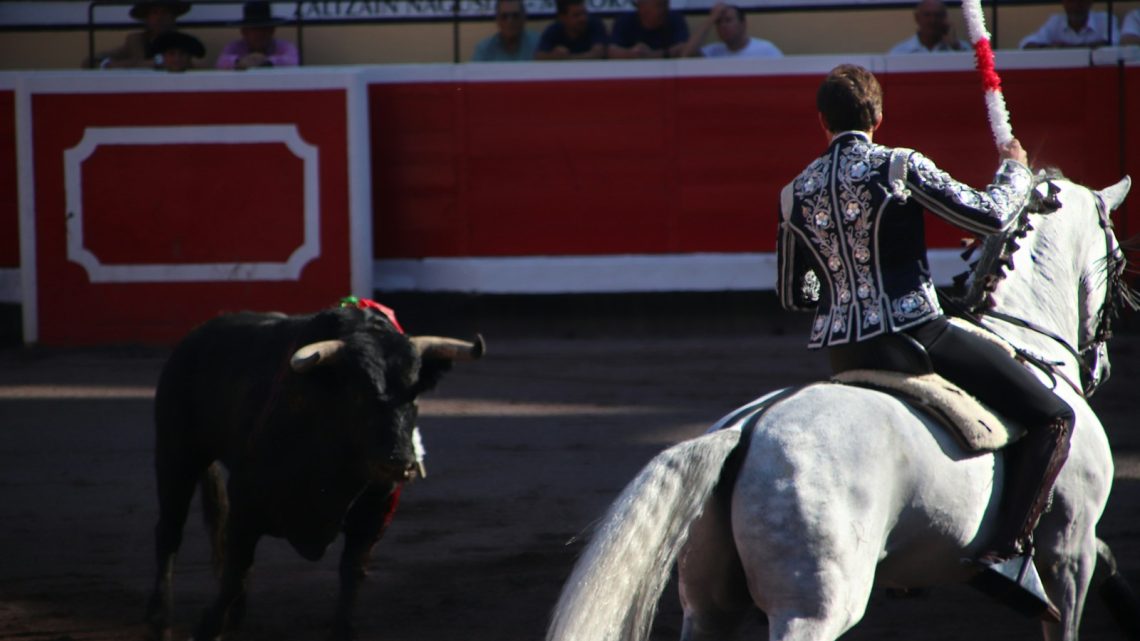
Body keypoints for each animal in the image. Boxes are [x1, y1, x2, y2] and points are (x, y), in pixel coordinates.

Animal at [144, 305, 483, 638]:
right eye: (357, 395)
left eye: (414, 395)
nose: (399, 462)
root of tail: (195, 336)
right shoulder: (246, 505)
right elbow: (235, 573)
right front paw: (209, 627)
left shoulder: (374, 514)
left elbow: (352, 573)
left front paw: (343, 630)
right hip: (177, 455)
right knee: (169, 533)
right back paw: (160, 618)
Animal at [547, 174, 1135, 638]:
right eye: (1119, 258)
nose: (1101, 368)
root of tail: (746, 431)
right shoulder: (1068, 546)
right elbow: (1075, 600)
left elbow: (1109, 557)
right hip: (816, 608)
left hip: (709, 605)